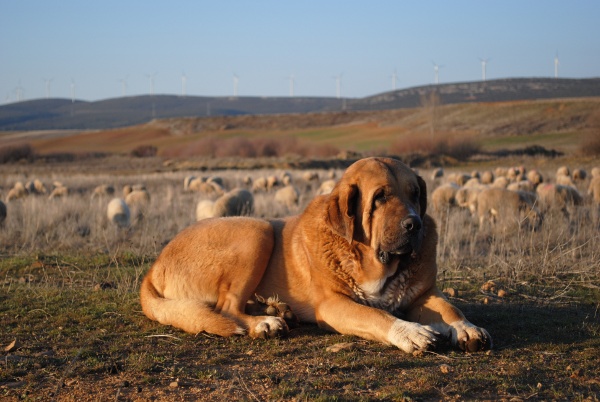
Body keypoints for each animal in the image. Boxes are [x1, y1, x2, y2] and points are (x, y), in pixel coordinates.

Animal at [142, 157, 492, 352]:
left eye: (415, 194)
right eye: (379, 197)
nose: (415, 224)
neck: (370, 260)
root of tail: (154, 266)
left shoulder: (422, 295)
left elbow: (448, 307)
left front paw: (466, 327)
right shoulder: (334, 305)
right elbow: (377, 315)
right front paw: (410, 332)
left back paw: (275, 311)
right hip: (257, 231)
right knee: (226, 307)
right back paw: (264, 323)